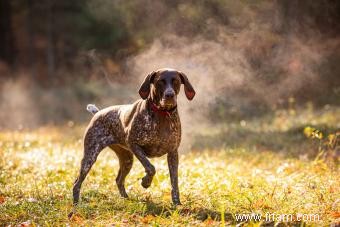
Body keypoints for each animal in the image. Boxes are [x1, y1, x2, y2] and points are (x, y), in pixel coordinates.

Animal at [70, 68, 195, 207]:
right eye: (160, 81)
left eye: (176, 81)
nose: (169, 95)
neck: (162, 114)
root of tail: (98, 113)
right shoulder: (134, 145)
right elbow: (151, 168)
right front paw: (146, 182)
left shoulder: (173, 153)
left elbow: (174, 182)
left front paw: (177, 203)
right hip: (90, 157)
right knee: (77, 183)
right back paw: (76, 204)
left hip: (127, 160)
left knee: (119, 180)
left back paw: (126, 199)